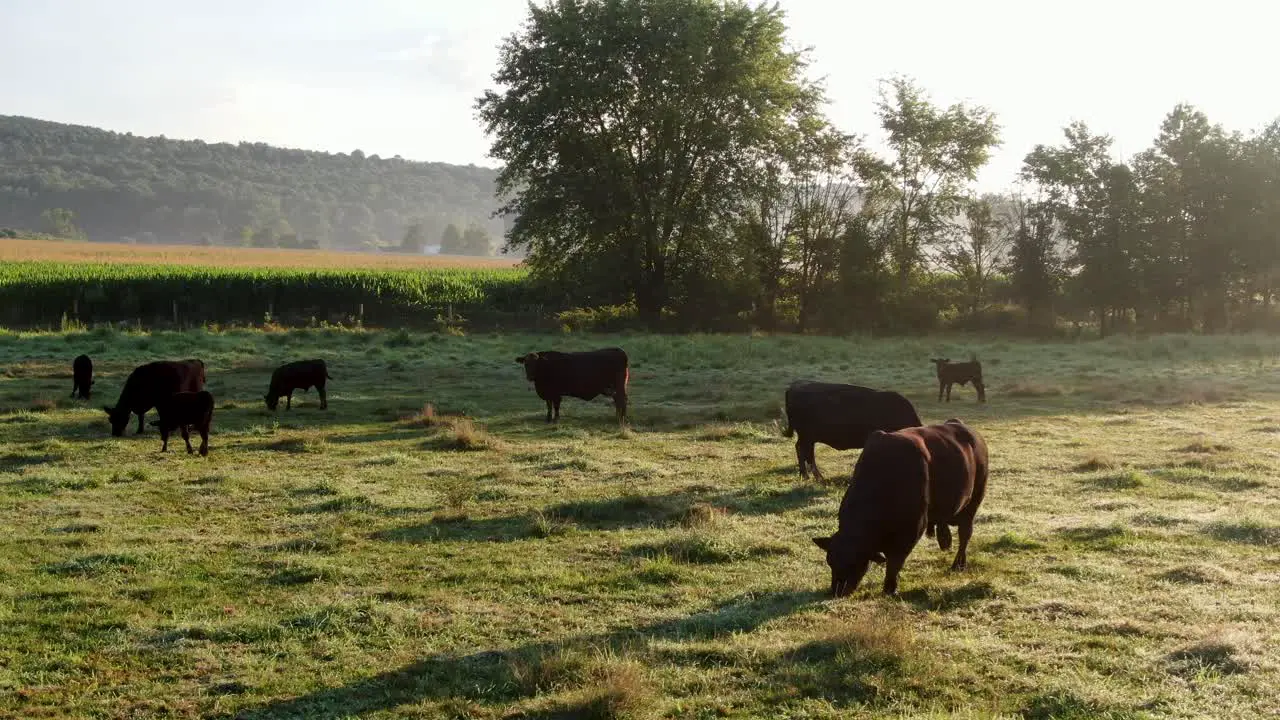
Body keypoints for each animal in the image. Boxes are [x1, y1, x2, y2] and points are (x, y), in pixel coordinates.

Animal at [778, 379, 921, 479]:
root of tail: (795, 386)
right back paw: (812, 477)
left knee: (804, 451)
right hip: (806, 436)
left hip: (809, 437)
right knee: (804, 451)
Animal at [808, 415, 988, 594]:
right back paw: (945, 541)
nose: (837, 591)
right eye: (830, 561)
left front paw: (890, 587)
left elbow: (894, 561)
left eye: (854, 562)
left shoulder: (911, 531)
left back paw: (958, 564)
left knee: (965, 533)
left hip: (974, 501)